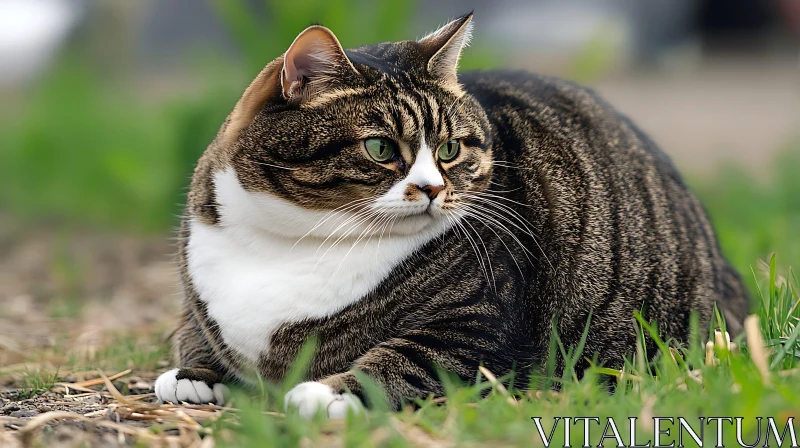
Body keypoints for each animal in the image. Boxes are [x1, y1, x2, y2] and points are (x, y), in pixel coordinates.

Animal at [153, 14, 748, 420]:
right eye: (379, 148)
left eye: (450, 148)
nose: (433, 188)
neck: (292, 240)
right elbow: (197, 333)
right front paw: (192, 374)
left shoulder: (477, 326)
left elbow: (403, 361)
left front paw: (327, 392)